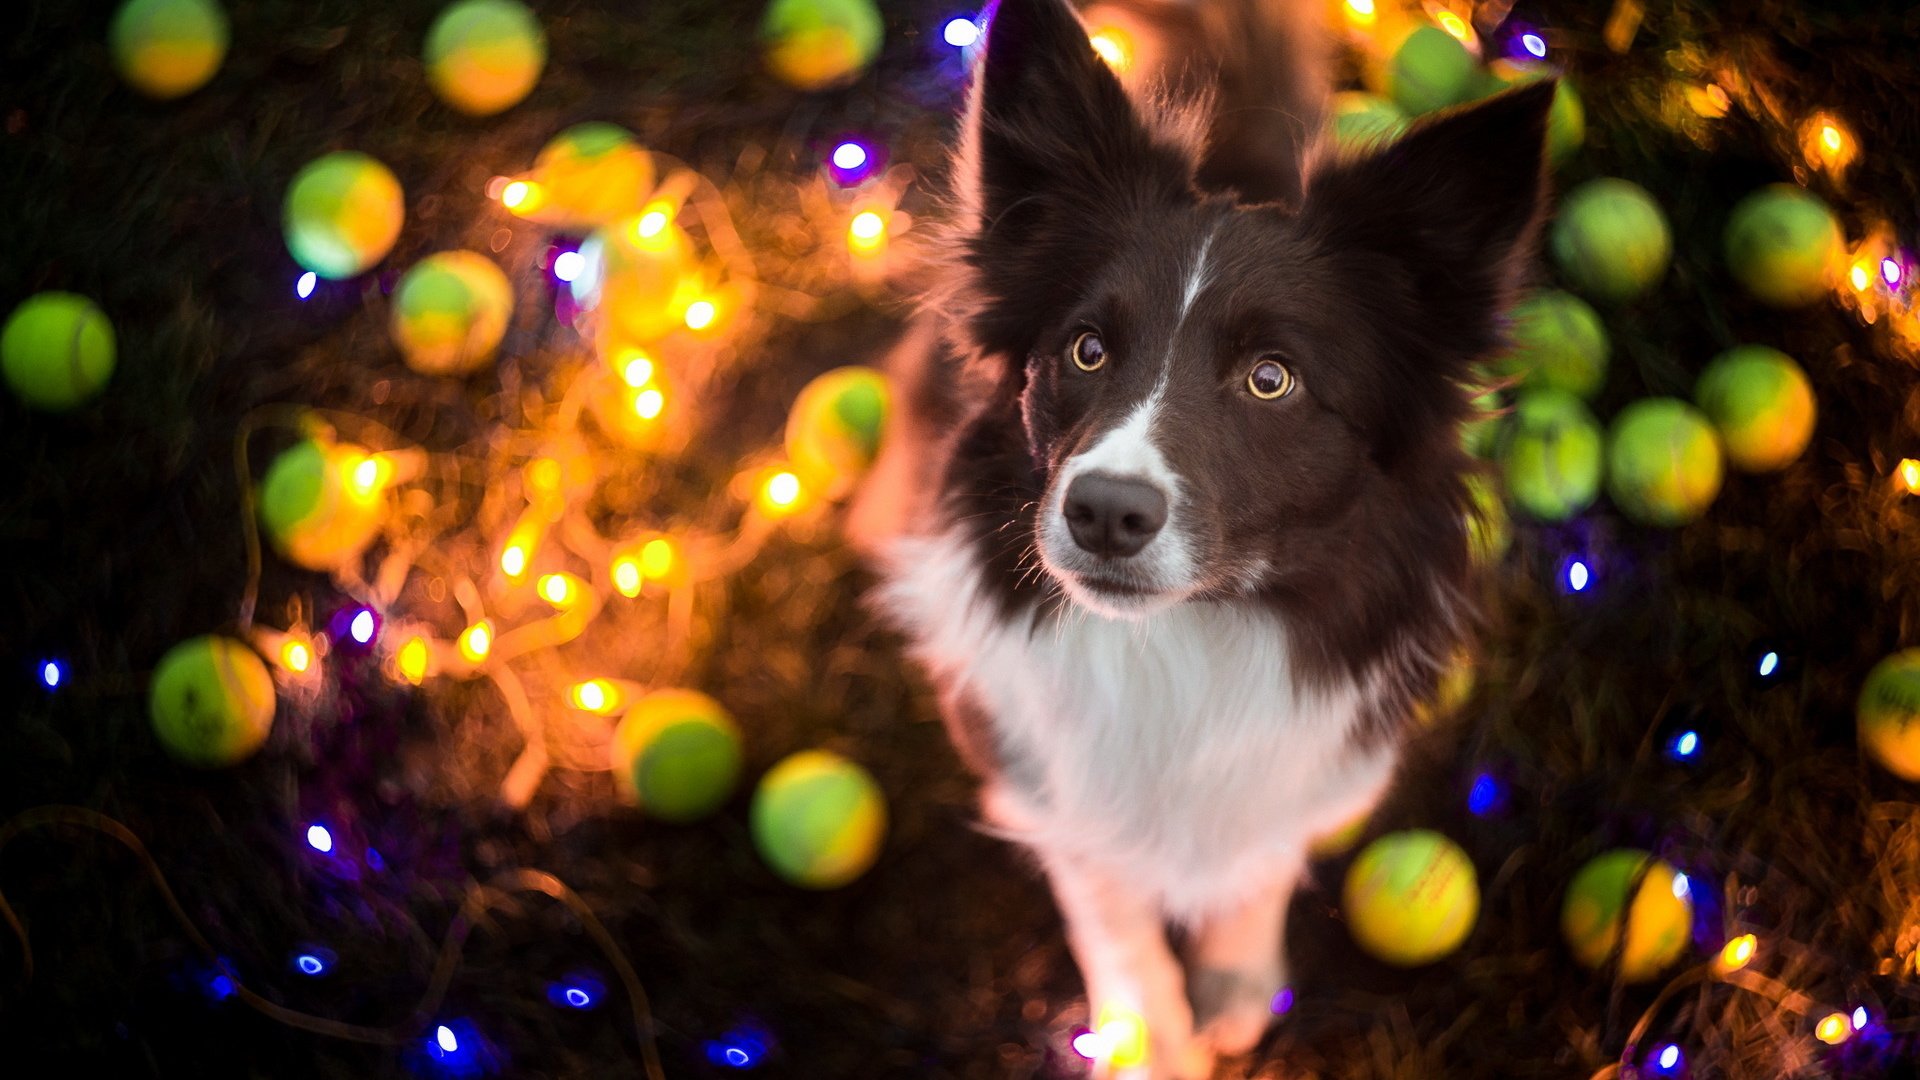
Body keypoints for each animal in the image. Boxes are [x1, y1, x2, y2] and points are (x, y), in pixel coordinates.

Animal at [856, 0, 1559, 1068]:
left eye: (1272, 378)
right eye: (1085, 349)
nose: (1104, 510)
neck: (1181, 643)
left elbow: (1261, 854)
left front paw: (1234, 978)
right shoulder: (1033, 773)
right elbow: (1104, 894)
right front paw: (1149, 1036)